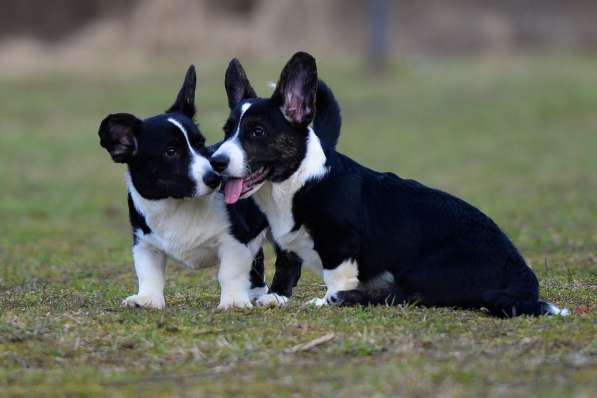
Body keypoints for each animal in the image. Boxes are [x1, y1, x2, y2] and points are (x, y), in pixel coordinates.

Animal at [99, 65, 302, 310]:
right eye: (170, 152)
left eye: (201, 143)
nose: (216, 178)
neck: (177, 204)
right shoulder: (144, 243)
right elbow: (148, 273)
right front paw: (147, 300)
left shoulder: (234, 241)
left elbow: (230, 273)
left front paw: (233, 301)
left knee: (287, 260)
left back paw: (275, 295)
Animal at [210, 52, 568, 318]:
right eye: (227, 130)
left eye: (257, 132)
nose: (216, 162)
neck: (296, 182)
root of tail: (522, 275)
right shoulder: (286, 242)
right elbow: (286, 264)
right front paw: (275, 296)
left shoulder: (340, 244)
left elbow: (335, 277)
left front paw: (328, 300)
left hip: (423, 271)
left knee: (407, 295)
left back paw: (349, 298)